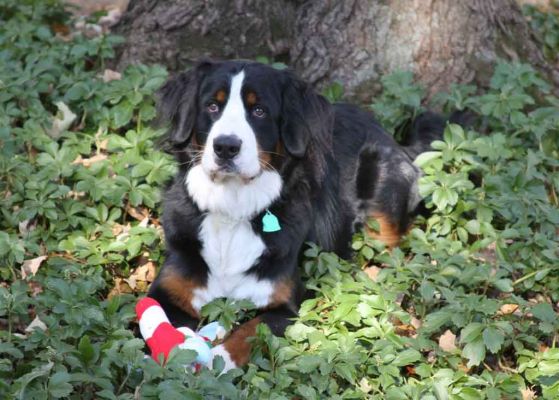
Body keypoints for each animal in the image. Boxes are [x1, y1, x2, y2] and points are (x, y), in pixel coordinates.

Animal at [147, 59, 444, 372]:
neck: (233, 209)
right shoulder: (168, 291)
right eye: (212, 106)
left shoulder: (284, 304)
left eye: (259, 111)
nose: (226, 146)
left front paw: (218, 360)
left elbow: (249, 332)